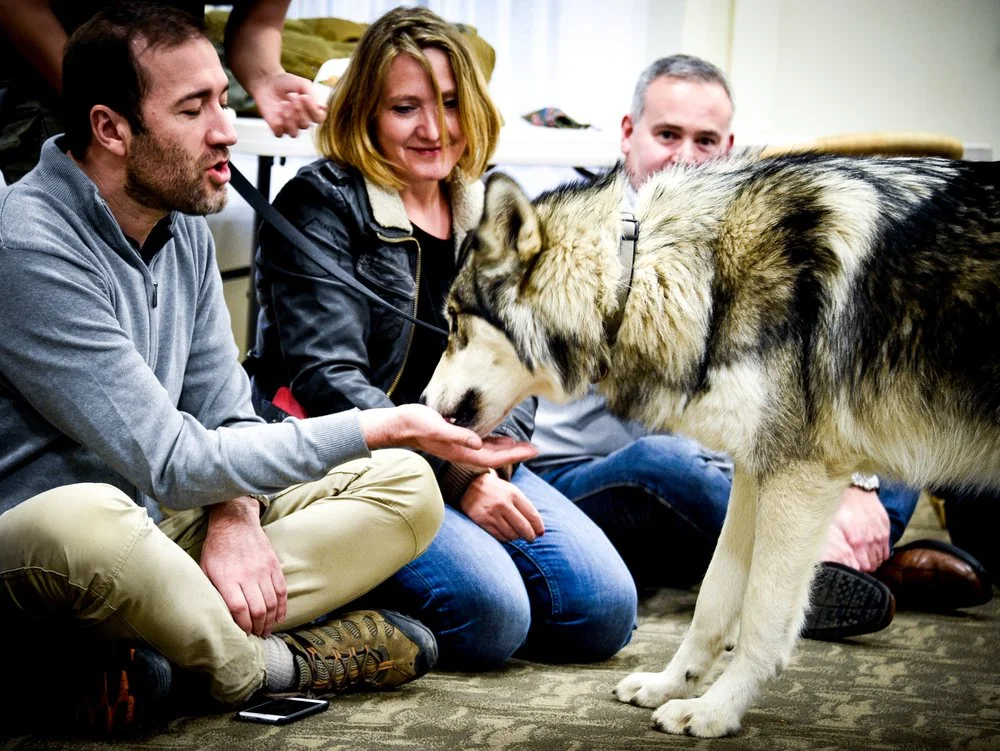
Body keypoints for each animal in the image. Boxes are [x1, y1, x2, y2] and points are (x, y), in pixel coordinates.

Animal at [421, 153, 1000, 737]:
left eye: (453, 323)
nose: (419, 402)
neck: (650, 277)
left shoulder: (798, 476)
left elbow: (762, 617)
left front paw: (717, 711)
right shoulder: (754, 470)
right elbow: (712, 598)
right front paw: (671, 686)